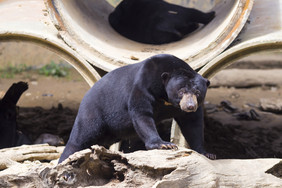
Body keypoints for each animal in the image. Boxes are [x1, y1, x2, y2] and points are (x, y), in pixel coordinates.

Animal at [59, 54, 214, 163]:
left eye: (198, 92)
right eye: (181, 91)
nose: (190, 106)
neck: (165, 97)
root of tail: (86, 96)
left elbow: (192, 123)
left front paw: (207, 153)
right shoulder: (144, 85)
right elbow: (141, 114)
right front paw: (165, 145)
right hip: (94, 112)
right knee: (80, 138)